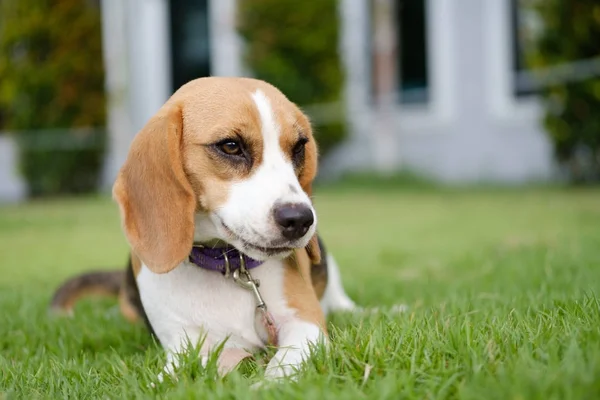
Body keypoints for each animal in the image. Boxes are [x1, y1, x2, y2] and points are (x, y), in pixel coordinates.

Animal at [50, 77, 356, 382]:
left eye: (299, 148)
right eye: (231, 146)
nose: (301, 219)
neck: (227, 265)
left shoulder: (306, 325)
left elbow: (283, 365)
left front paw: (266, 385)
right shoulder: (184, 345)